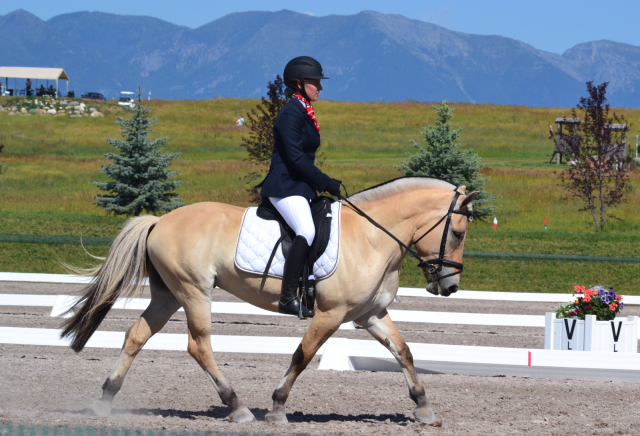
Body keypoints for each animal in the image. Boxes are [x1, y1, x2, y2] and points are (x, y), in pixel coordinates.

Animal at [62, 177, 478, 426]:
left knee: (136, 335)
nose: (449, 286)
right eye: (457, 233)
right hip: (194, 291)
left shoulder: (370, 313)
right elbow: (303, 355)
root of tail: (159, 221)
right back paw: (237, 407)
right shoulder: (331, 313)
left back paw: (106, 399)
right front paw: (277, 408)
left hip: (169, 294)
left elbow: (403, 351)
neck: (372, 237)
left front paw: (424, 408)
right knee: (199, 345)